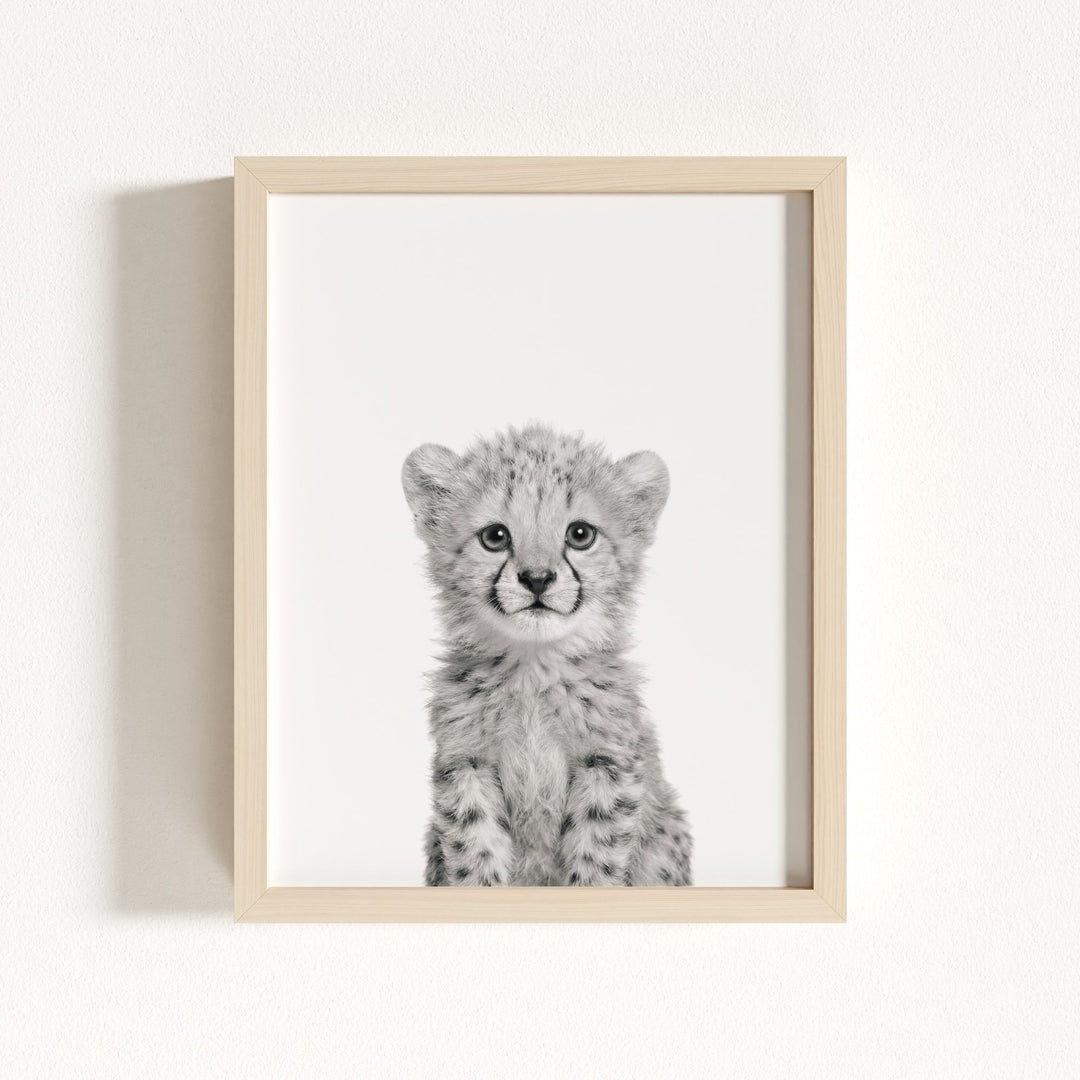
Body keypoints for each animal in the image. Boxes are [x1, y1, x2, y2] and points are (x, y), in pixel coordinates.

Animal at [402, 424, 692, 886]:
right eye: (495, 537)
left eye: (580, 534)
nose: (537, 578)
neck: (533, 670)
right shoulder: (466, 765)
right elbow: (475, 851)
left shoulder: (607, 765)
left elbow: (596, 858)